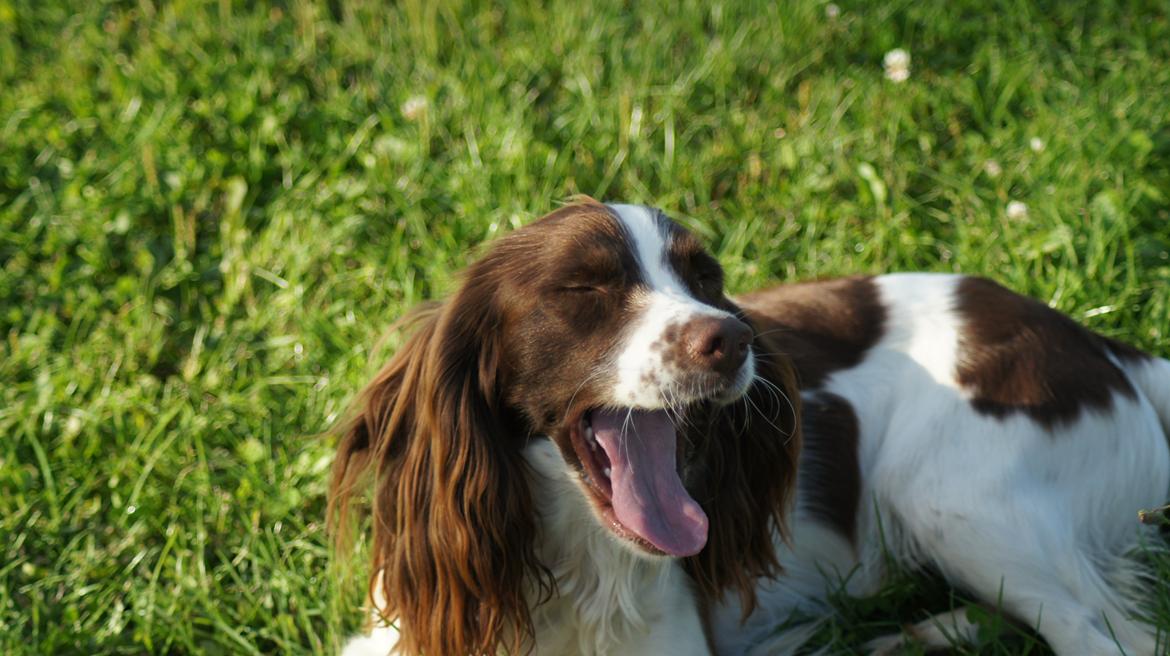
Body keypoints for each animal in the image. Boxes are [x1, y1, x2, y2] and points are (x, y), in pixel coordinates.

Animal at [332, 199, 1170, 654]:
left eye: (706, 278)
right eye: (582, 287)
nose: (731, 339)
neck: (568, 577)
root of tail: (1100, 346)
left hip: (951, 498)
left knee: (1107, 637)